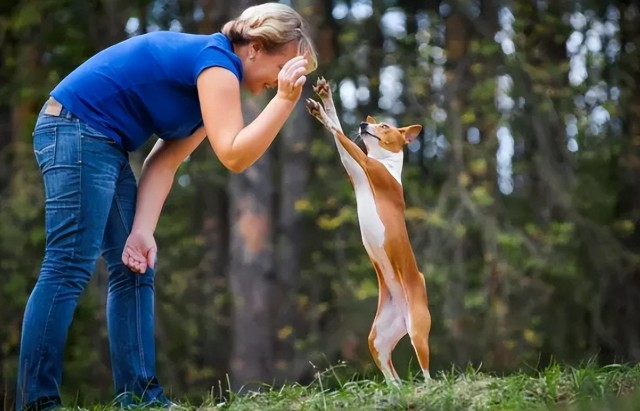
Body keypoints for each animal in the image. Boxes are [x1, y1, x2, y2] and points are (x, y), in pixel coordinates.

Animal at [308, 77, 432, 384]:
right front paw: (325, 99)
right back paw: (397, 388)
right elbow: (340, 134)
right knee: (392, 375)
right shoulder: (355, 169)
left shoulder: (366, 166)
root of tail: (403, 314)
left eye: (385, 126)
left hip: (418, 331)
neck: (385, 163)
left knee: (427, 372)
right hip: (377, 340)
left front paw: (322, 112)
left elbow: (337, 131)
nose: (365, 125)